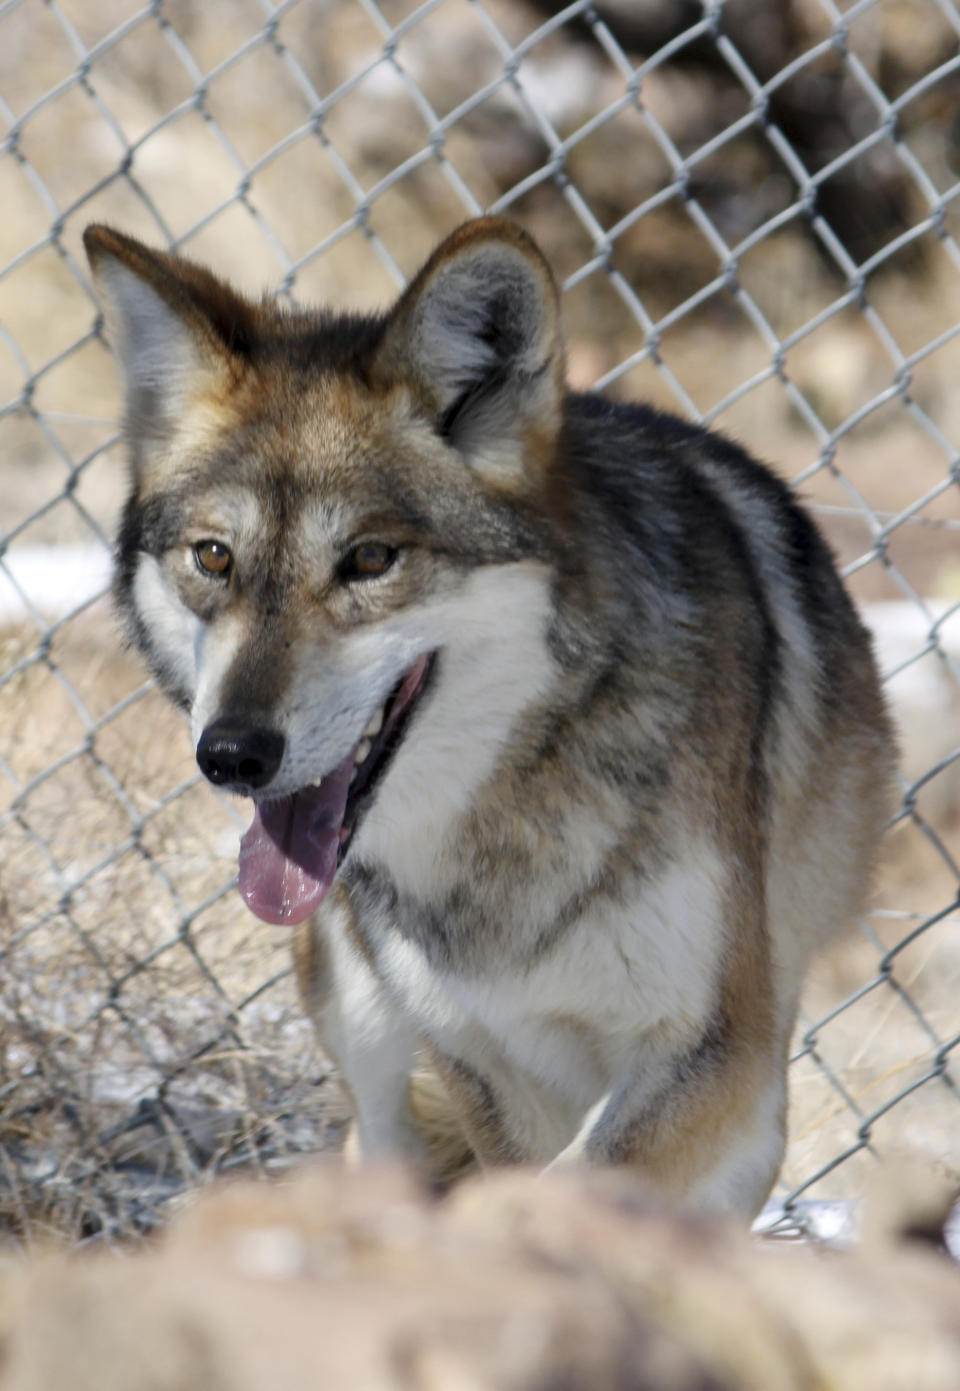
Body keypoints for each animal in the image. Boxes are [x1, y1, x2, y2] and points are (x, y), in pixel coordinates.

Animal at [82, 211, 890, 1212]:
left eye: (370, 559)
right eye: (214, 558)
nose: (232, 753)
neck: (507, 813)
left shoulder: (719, 1058)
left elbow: (573, 1186)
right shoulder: (484, 1065)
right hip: (360, 1014)